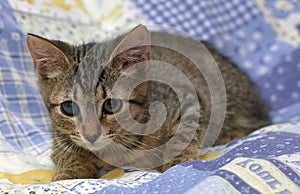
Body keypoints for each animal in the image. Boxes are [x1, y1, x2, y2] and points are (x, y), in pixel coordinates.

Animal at [27, 24, 268, 180]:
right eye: (69, 107)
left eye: (111, 105)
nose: (91, 135)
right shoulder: (60, 138)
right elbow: (68, 152)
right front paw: (69, 173)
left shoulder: (189, 98)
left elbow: (183, 137)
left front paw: (178, 164)